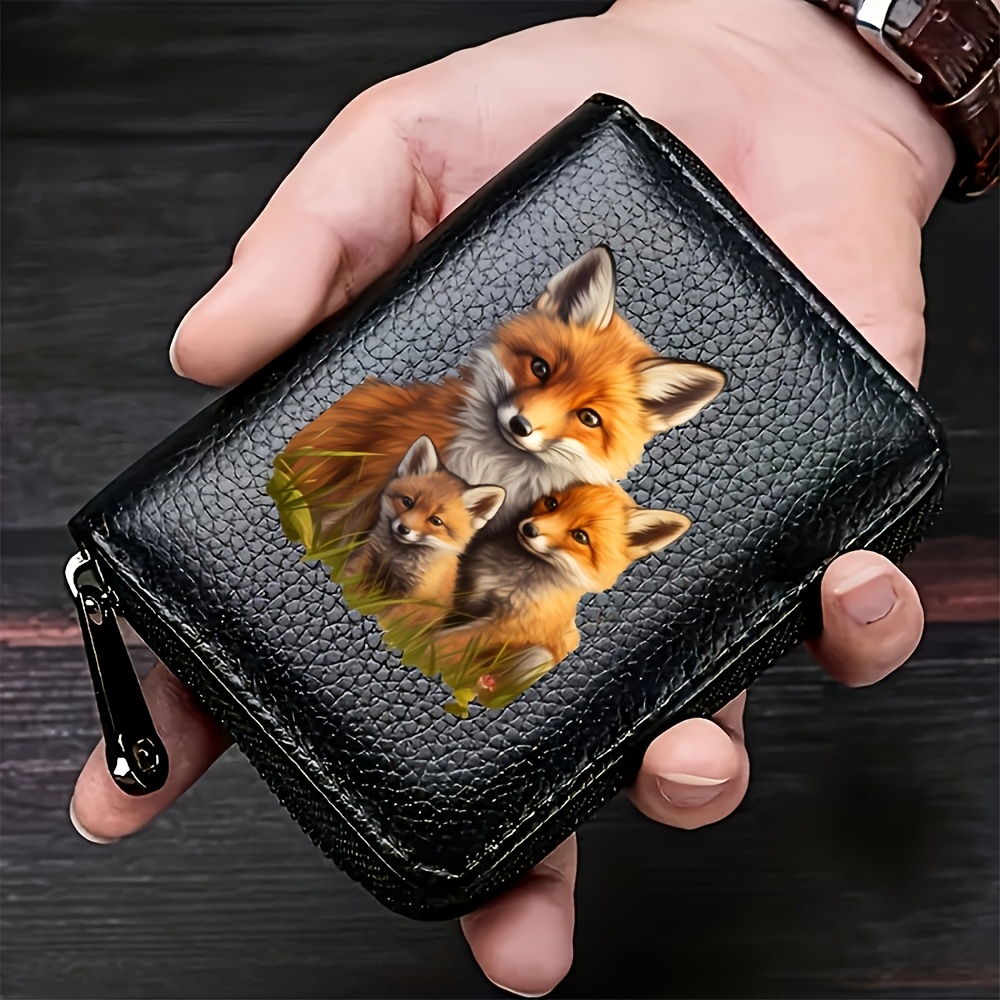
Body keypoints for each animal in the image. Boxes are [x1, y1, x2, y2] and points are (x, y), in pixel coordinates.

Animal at [341, 437, 505, 623]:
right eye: (407, 502)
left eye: (436, 521)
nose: (403, 529)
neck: (396, 559)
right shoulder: (366, 560)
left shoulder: (416, 597)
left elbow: (390, 620)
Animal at [424, 482, 691, 714]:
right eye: (552, 504)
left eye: (580, 537)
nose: (529, 529)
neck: (512, 578)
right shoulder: (469, 594)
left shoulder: (509, 625)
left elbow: (446, 640)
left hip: (538, 657)